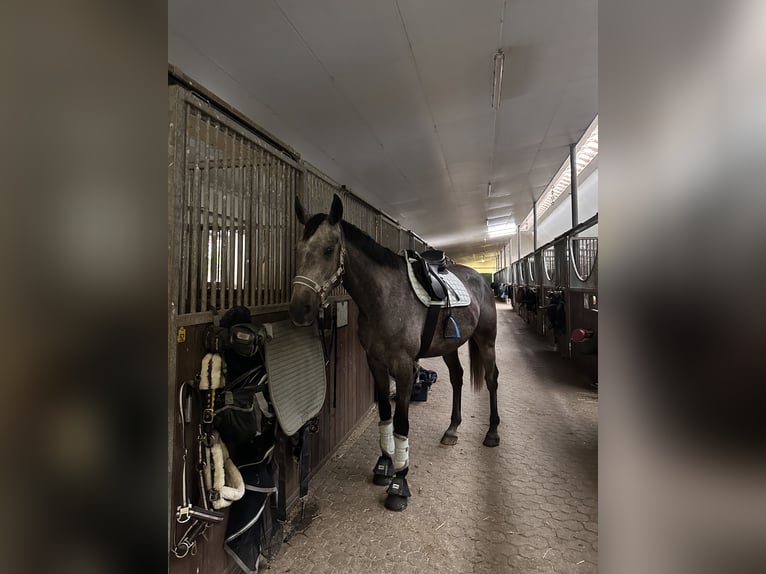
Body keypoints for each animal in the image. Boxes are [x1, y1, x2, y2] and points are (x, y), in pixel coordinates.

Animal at [289, 193, 500, 511]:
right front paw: (384, 465)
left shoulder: (403, 367)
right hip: (449, 347)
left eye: (328, 249)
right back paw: (452, 430)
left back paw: (492, 433)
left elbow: (401, 421)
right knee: (458, 378)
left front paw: (399, 483)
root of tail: (480, 280)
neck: (384, 298)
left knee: (491, 379)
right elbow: (385, 415)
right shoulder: (375, 363)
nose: (299, 309)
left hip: (486, 341)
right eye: (299, 249)